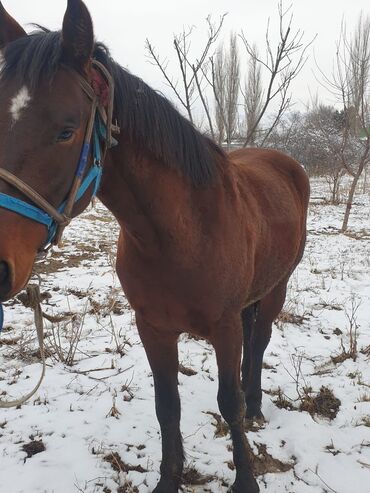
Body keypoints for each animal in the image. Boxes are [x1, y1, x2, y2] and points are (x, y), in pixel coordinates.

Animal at [0, 1, 308, 490]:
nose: (0, 268)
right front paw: (169, 478)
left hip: (277, 287)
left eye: (66, 131)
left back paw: (258, 405)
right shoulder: (154, 328)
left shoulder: (223, 327)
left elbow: (229, 403)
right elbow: (168, 408)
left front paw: (245, 478)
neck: (181, 234)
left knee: (259, 342)